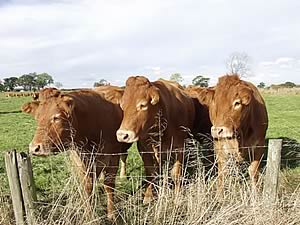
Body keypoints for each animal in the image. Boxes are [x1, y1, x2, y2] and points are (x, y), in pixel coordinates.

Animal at [21, 87, 131, 220]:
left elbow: (109, 185)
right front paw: (90, 215)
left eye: (57, 117)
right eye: (37, 117)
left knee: (124, 157)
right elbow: (87, 188)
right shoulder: (79, 160)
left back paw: (123, 175)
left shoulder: (112, 157)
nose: (34, 148)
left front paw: (111, 214)